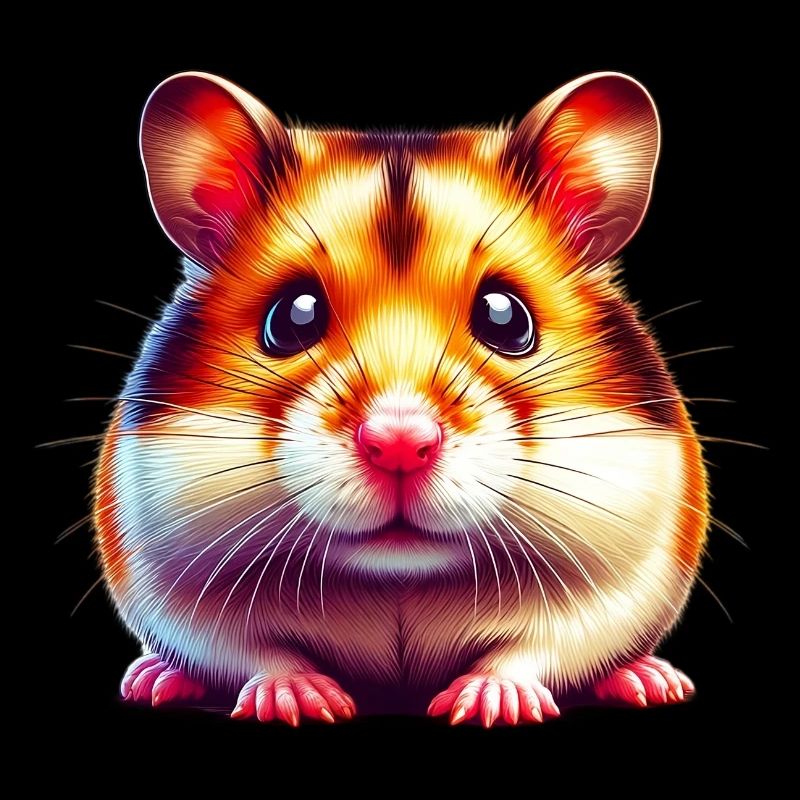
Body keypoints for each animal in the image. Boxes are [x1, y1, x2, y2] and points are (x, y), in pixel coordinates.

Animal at [95, 71, 705, 725]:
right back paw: (154, 680)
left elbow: (536, 648)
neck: (398, 576)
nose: (398, 445)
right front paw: (302, 702)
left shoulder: (626, 573)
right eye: (292, 317)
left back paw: (652, 680)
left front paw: (490, 706)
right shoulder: (164, 568)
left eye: (506, 317)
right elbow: (251, 649)